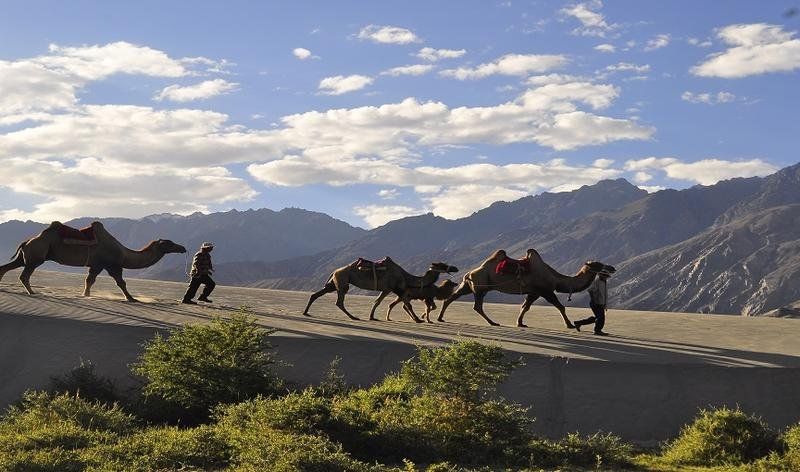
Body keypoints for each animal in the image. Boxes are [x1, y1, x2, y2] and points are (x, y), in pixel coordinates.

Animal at [0, 222, 186, 302]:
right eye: (169, 243)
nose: (183, 248)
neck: (123, 252)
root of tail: (26, 241)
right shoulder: (111, 264)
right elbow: (121, 283)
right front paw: (132, 299)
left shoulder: (97, 265)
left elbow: (89, 280)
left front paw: (86, 295)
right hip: (36, 256)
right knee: (24, 275)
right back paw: (32, 292)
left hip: (25, 256)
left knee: (7, 267)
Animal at [304, 256, 460, 322]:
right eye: (441, 265)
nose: (455, 268)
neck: (406, 276)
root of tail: (334, 271)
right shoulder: (395, 288)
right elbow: (407, 304)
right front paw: (418, 320)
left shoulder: (388, 289)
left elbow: (377, 302)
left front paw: (372, 317)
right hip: (343, 282)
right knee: (339, 302)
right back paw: (353, 317)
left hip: (334, 283)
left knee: (317, 294)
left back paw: (306, 313)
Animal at [438, 251, 620, 328]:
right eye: (598, 264)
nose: (612, 267)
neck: (556, 278)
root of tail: (469, 273)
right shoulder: (545, 290)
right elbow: (560, 306)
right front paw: (569, 325)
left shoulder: (534, 292)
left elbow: (525, 307)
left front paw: (520, 323)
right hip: (481, 286)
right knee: (477, 306)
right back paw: (493, 322)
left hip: (469, 286)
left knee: (451, 298)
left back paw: (440, 318)